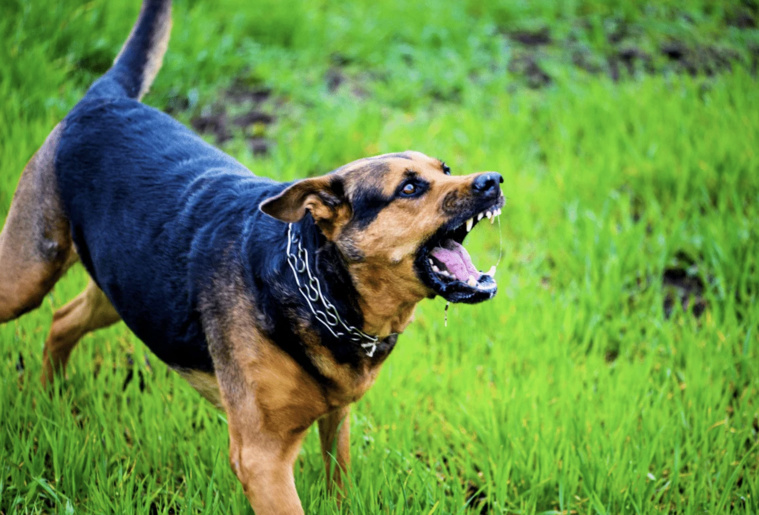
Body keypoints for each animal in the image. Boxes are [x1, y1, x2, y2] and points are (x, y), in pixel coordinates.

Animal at [1, 0, 504, 512]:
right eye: (409, 188)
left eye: (444, 168)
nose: (493, 181)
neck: (320, 289)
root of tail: (102, 98)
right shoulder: (263, 458)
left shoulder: (337, 416)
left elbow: (338, 478)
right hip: (26, 275)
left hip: (125, 288)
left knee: (62, 319)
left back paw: (50, 398)